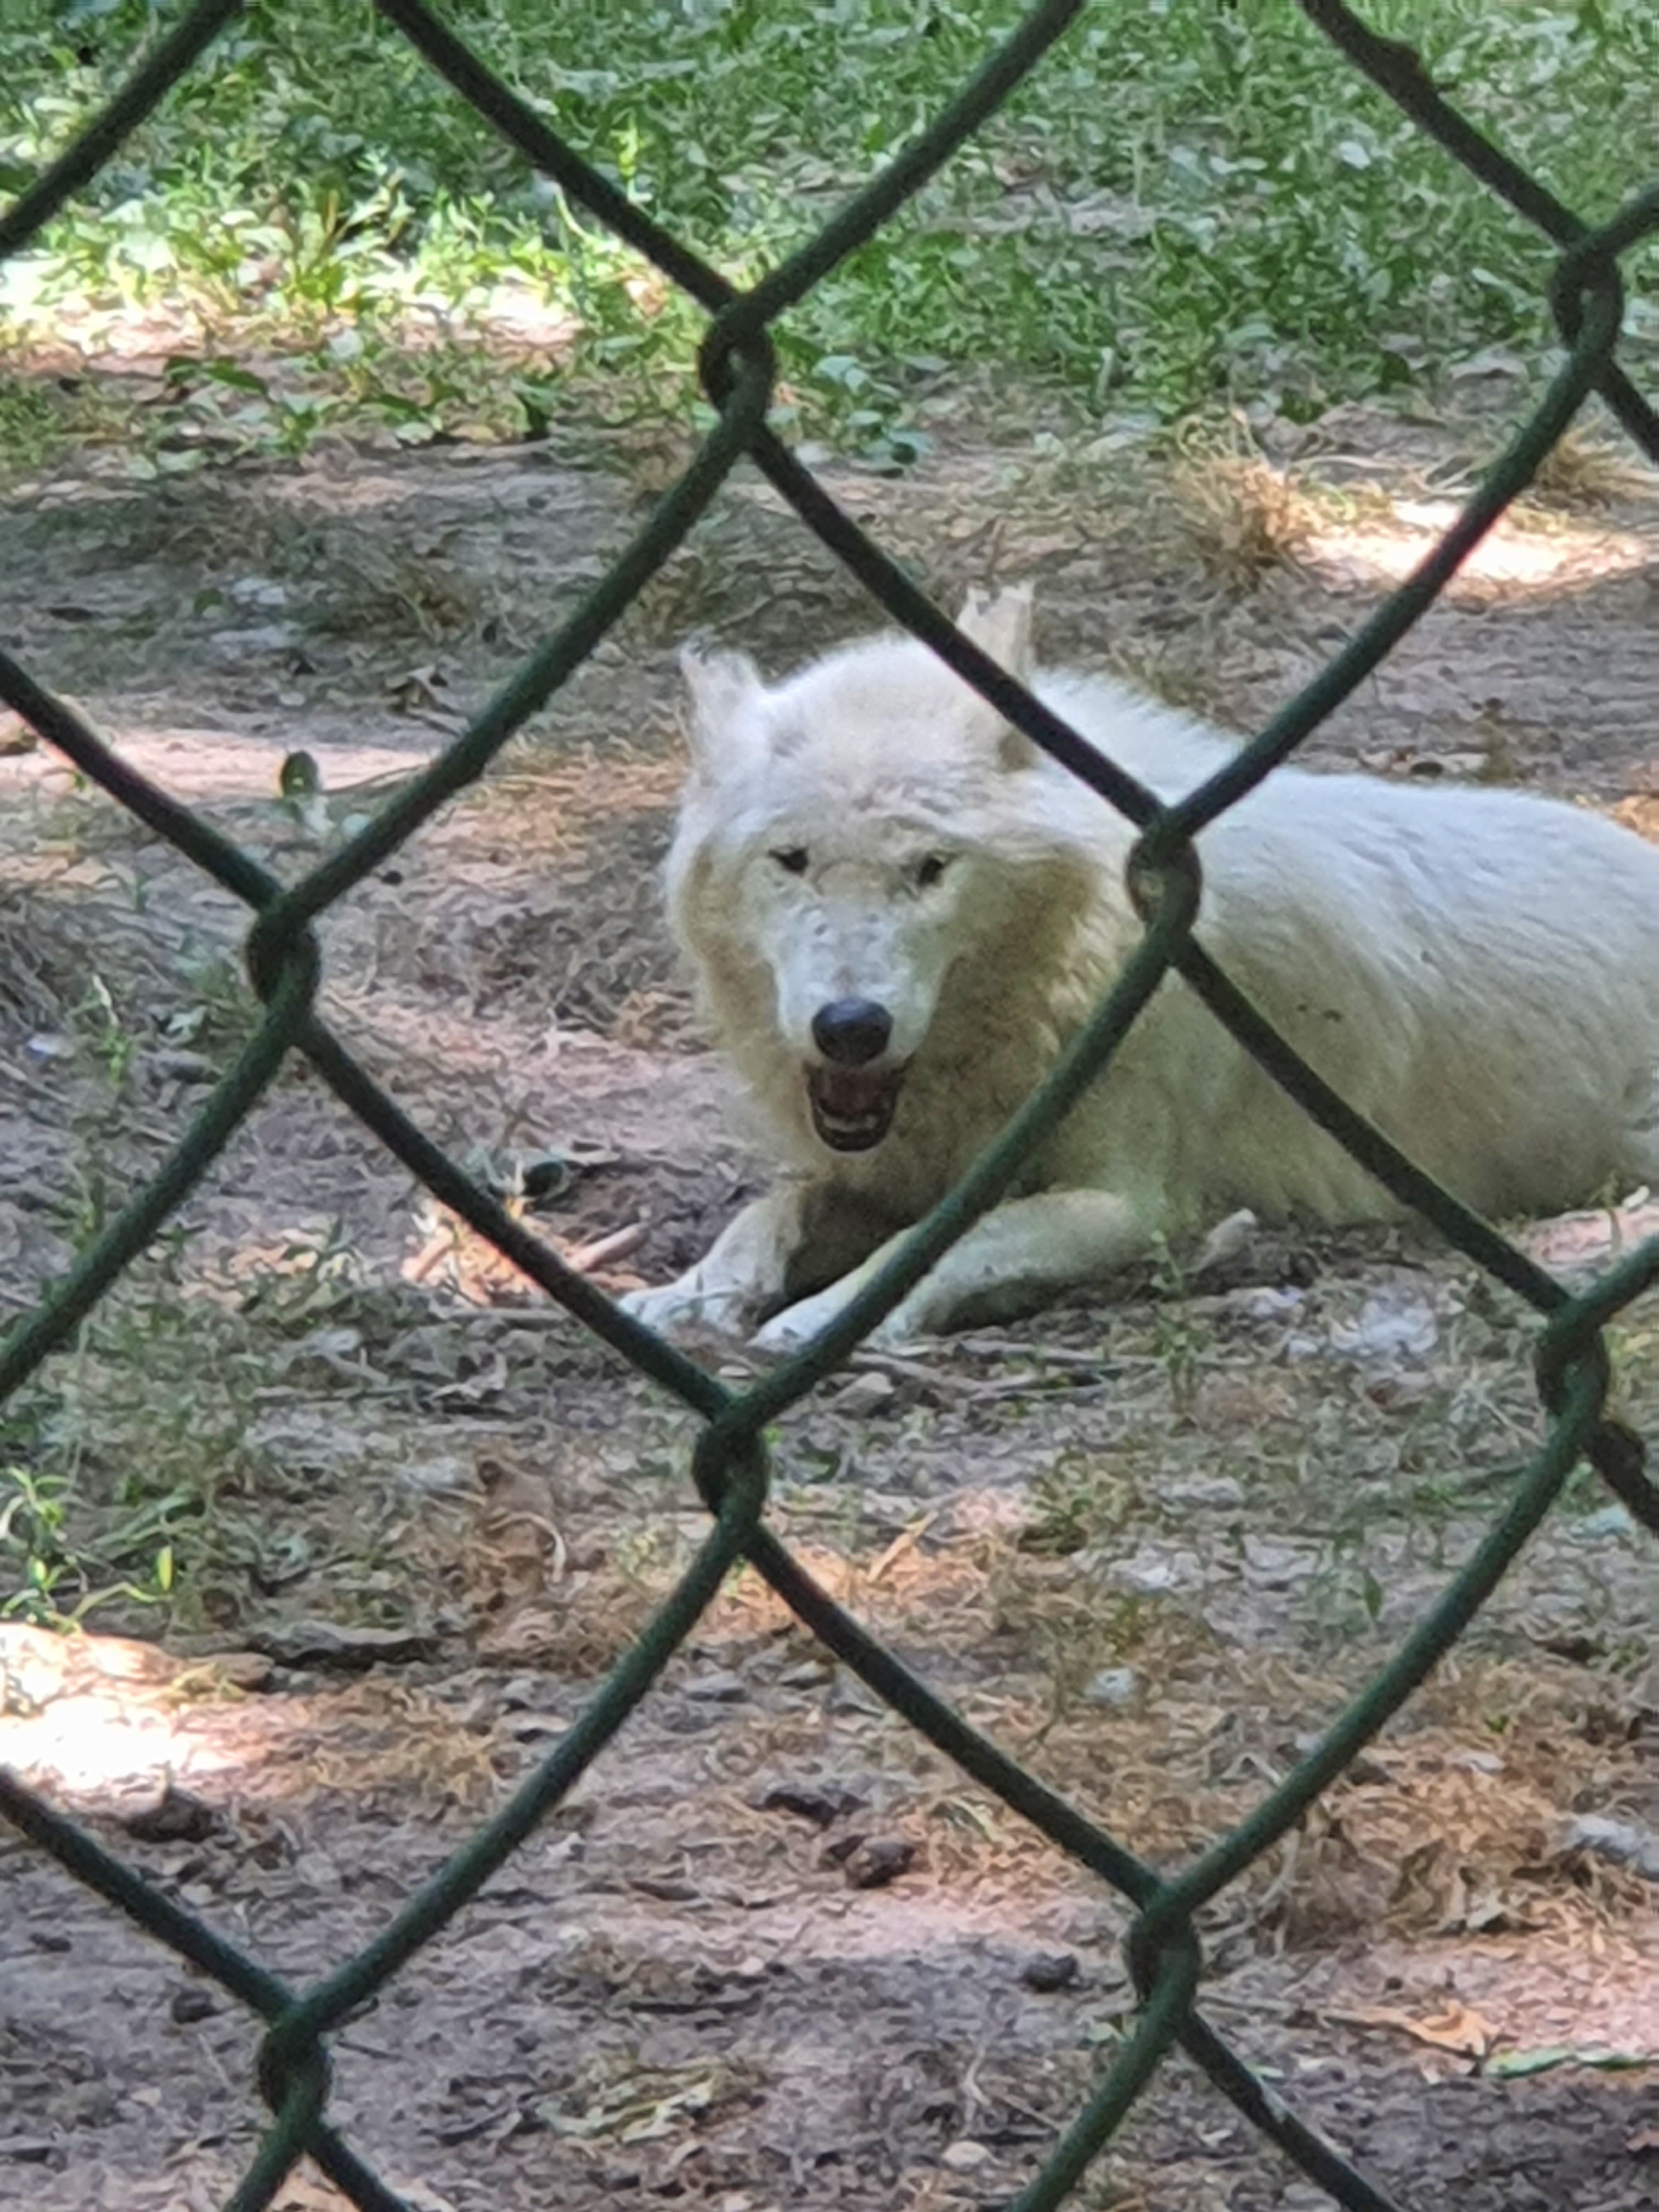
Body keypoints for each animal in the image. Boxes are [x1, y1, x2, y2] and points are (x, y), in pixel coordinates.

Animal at [623, 586, 1659, 1352]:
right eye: (791, 860)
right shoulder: (890, 1168)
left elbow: (938, 1242)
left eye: (930, 868)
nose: (851, 1028)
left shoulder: (1128, 1202)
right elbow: (774, 1205)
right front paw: (689, 1294)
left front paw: (819, 1319)